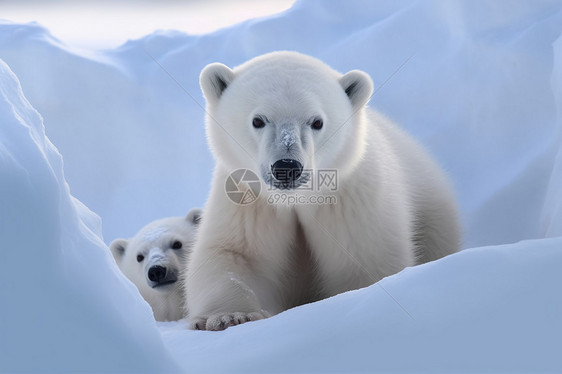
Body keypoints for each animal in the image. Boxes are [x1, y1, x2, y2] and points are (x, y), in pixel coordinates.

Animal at [186, 50, 458, 330]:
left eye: (317, 122)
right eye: (258, 120)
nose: (286, 167)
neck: (295, 199)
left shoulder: (349, 201)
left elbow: (364, 258)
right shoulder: (248, 200)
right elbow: (234, 254)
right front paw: (230, 316)